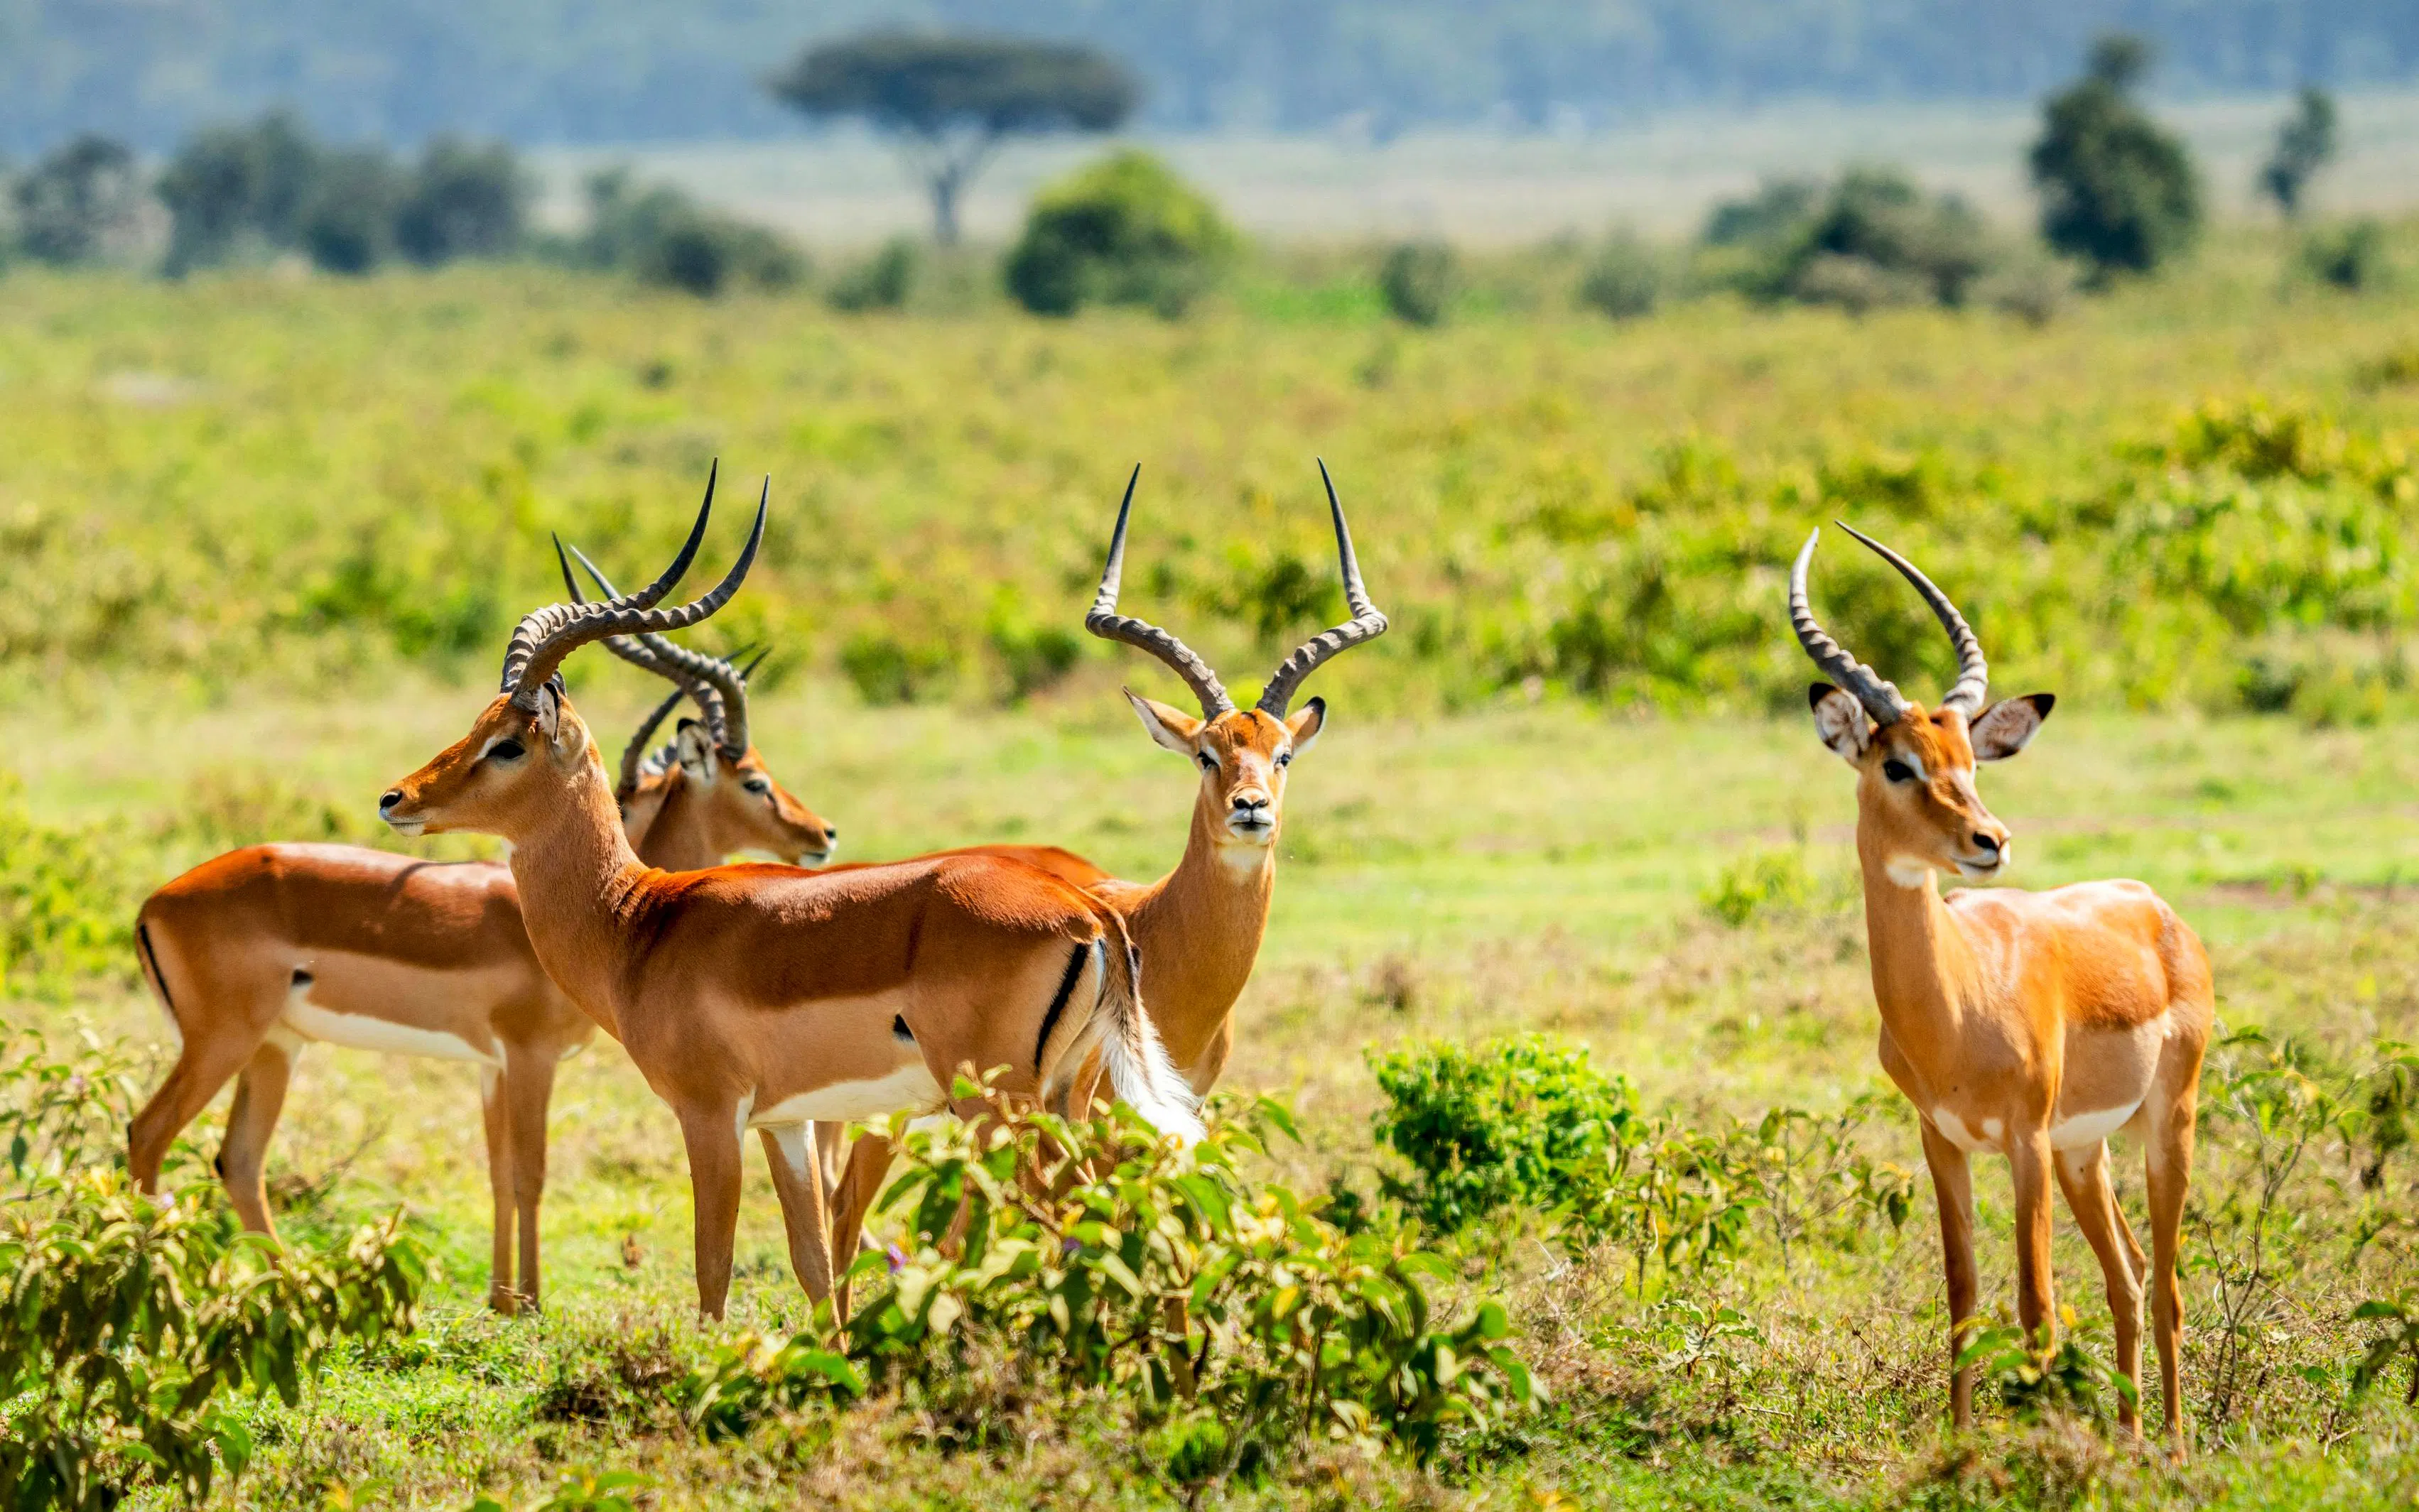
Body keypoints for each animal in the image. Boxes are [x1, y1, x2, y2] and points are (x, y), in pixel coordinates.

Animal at [376, 476, 1201, 1316]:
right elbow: (814, 1263)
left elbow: (713, 1265)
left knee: (1060, 1218)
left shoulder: (711, 1113)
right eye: (475, 724)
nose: (395, 798)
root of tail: (1090, 911)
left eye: (508, 743)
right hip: (1066, 1094)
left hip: (997, 1105)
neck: (638, 921)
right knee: (1121, 1212)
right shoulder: (791, 1120)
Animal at [821, 462, 1387, 1275]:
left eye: (1281, 753)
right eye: (1206, 753)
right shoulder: (1099, 1115)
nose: (1251, 808)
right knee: (863, 1212)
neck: (1162, 939)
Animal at [1789, 523, 2211, 1445]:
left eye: (1970, 760)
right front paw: (1960, 1444)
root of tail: (2157, 907)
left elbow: (2036, 1303)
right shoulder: (1942, 1140)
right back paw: (2129, 1437)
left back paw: (2171, 1445)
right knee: (2129, 1277)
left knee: (2165, 1285)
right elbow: (1963, 1295)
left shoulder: (2023, 1142)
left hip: (2167, 1125)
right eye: (1899, 765)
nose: (1991, 840)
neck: (1957, 1001)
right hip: (2084, 1151)